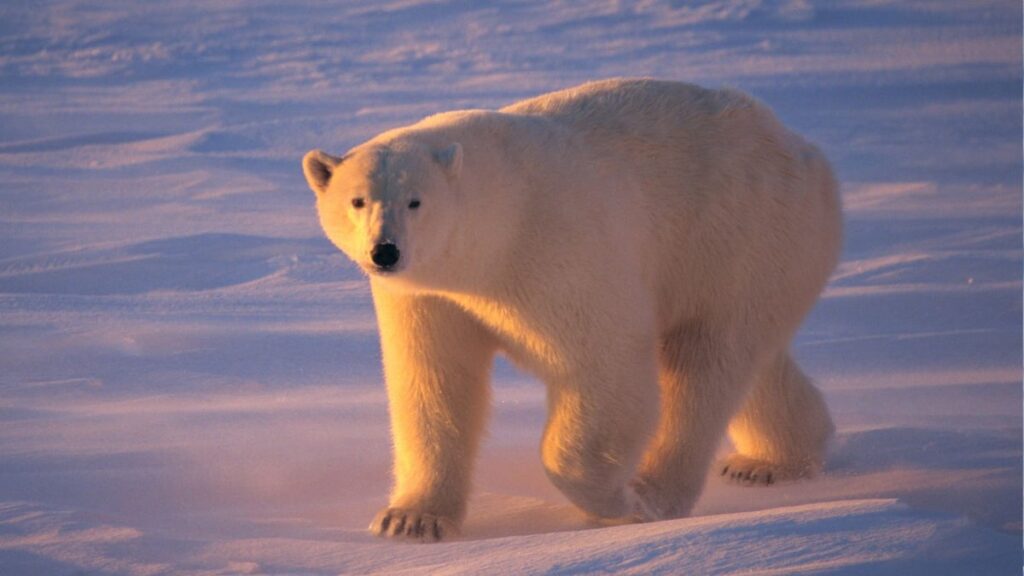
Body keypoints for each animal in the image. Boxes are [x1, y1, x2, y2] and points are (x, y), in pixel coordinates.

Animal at [301, 78, 839, 541]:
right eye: (357, 200)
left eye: (415, 201)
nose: (385, 252)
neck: (498, 224)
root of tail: (807, 151)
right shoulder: (429, 297)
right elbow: (433, 382)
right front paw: (410, 519)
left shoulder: (558, 250)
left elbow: (602, 364)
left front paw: (616, 501)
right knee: (755, 358)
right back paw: (771, 462)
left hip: (739, 230)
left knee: (704, 364)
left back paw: (655, 492)